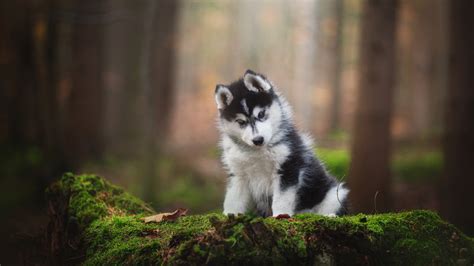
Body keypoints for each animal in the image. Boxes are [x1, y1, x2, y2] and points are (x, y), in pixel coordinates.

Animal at [215, 70, 348, 216]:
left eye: (261, 114)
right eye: (241, 122)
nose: (258, 140)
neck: (257, 153)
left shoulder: (287, 168)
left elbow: (281, 199)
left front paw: (280, 215)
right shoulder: (238, 174)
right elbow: (233, 198)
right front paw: (230, 214)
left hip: (335, 194)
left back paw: (329, 215)